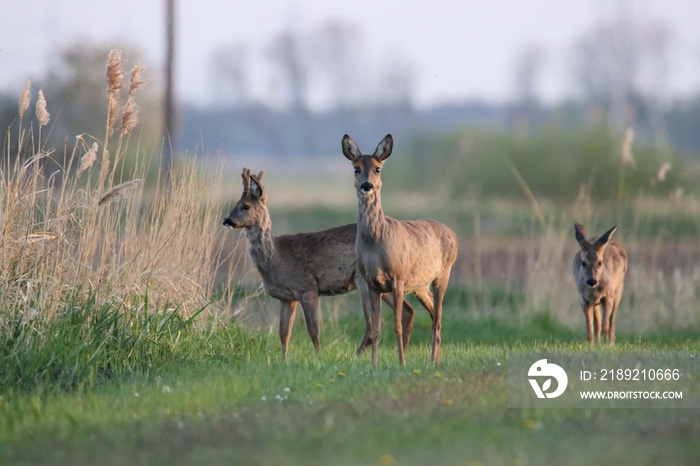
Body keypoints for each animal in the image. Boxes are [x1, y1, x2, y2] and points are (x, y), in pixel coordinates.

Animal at [224, 169, 422, 358]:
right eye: (236, 204)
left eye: (245, 206)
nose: (226, 220)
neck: (276, 257)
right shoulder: (286, 297)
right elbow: (284, 333)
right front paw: (284, 359)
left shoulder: (306, 287)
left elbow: (313, 330)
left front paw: (318, 356)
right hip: (381, 283)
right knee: (408, 311)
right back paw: (403, 350)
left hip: (363, 280)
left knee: (374, 322)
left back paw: (356, 356)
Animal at [340, 133, 460, 366]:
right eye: (356, 168)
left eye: (378, 168)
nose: (367, 185)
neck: (375, 240)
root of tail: (453, 233)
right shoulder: (371, 282)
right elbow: (376, 329)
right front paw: (373, 364)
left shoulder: (398, 277)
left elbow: (396, 326)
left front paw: (402, 363)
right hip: (420, 285)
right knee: (434, 313)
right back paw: (434, 359)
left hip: (443, 274)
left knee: (438, 319)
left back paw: (433, 361)